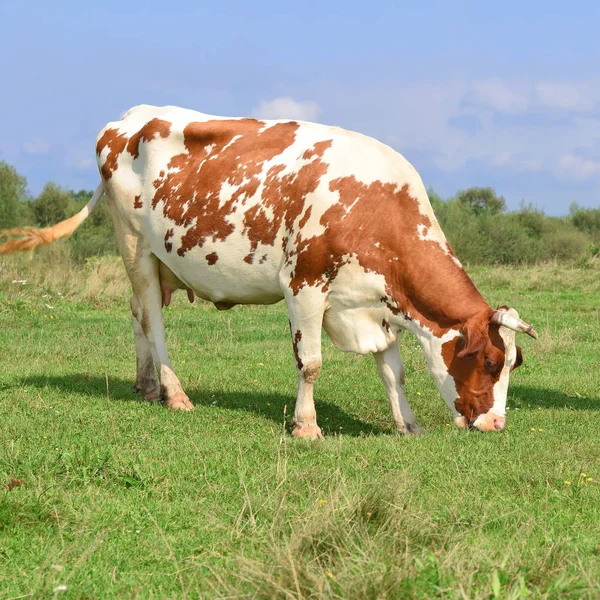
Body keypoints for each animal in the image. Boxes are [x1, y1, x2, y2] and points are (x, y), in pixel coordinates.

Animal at [0, 104, 540, 436]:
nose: (495, 425)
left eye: (514, 364)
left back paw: (146, 386)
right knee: (152, 320)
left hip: (150, 259)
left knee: (136, 314)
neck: (376, 207)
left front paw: (408, 425)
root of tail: (132, 116)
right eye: (490, 361)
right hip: (134, 245)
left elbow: (394, 370)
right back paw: (174, 393)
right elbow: (312, 362)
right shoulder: (304, 285)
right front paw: (306, 426)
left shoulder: (376, 304)